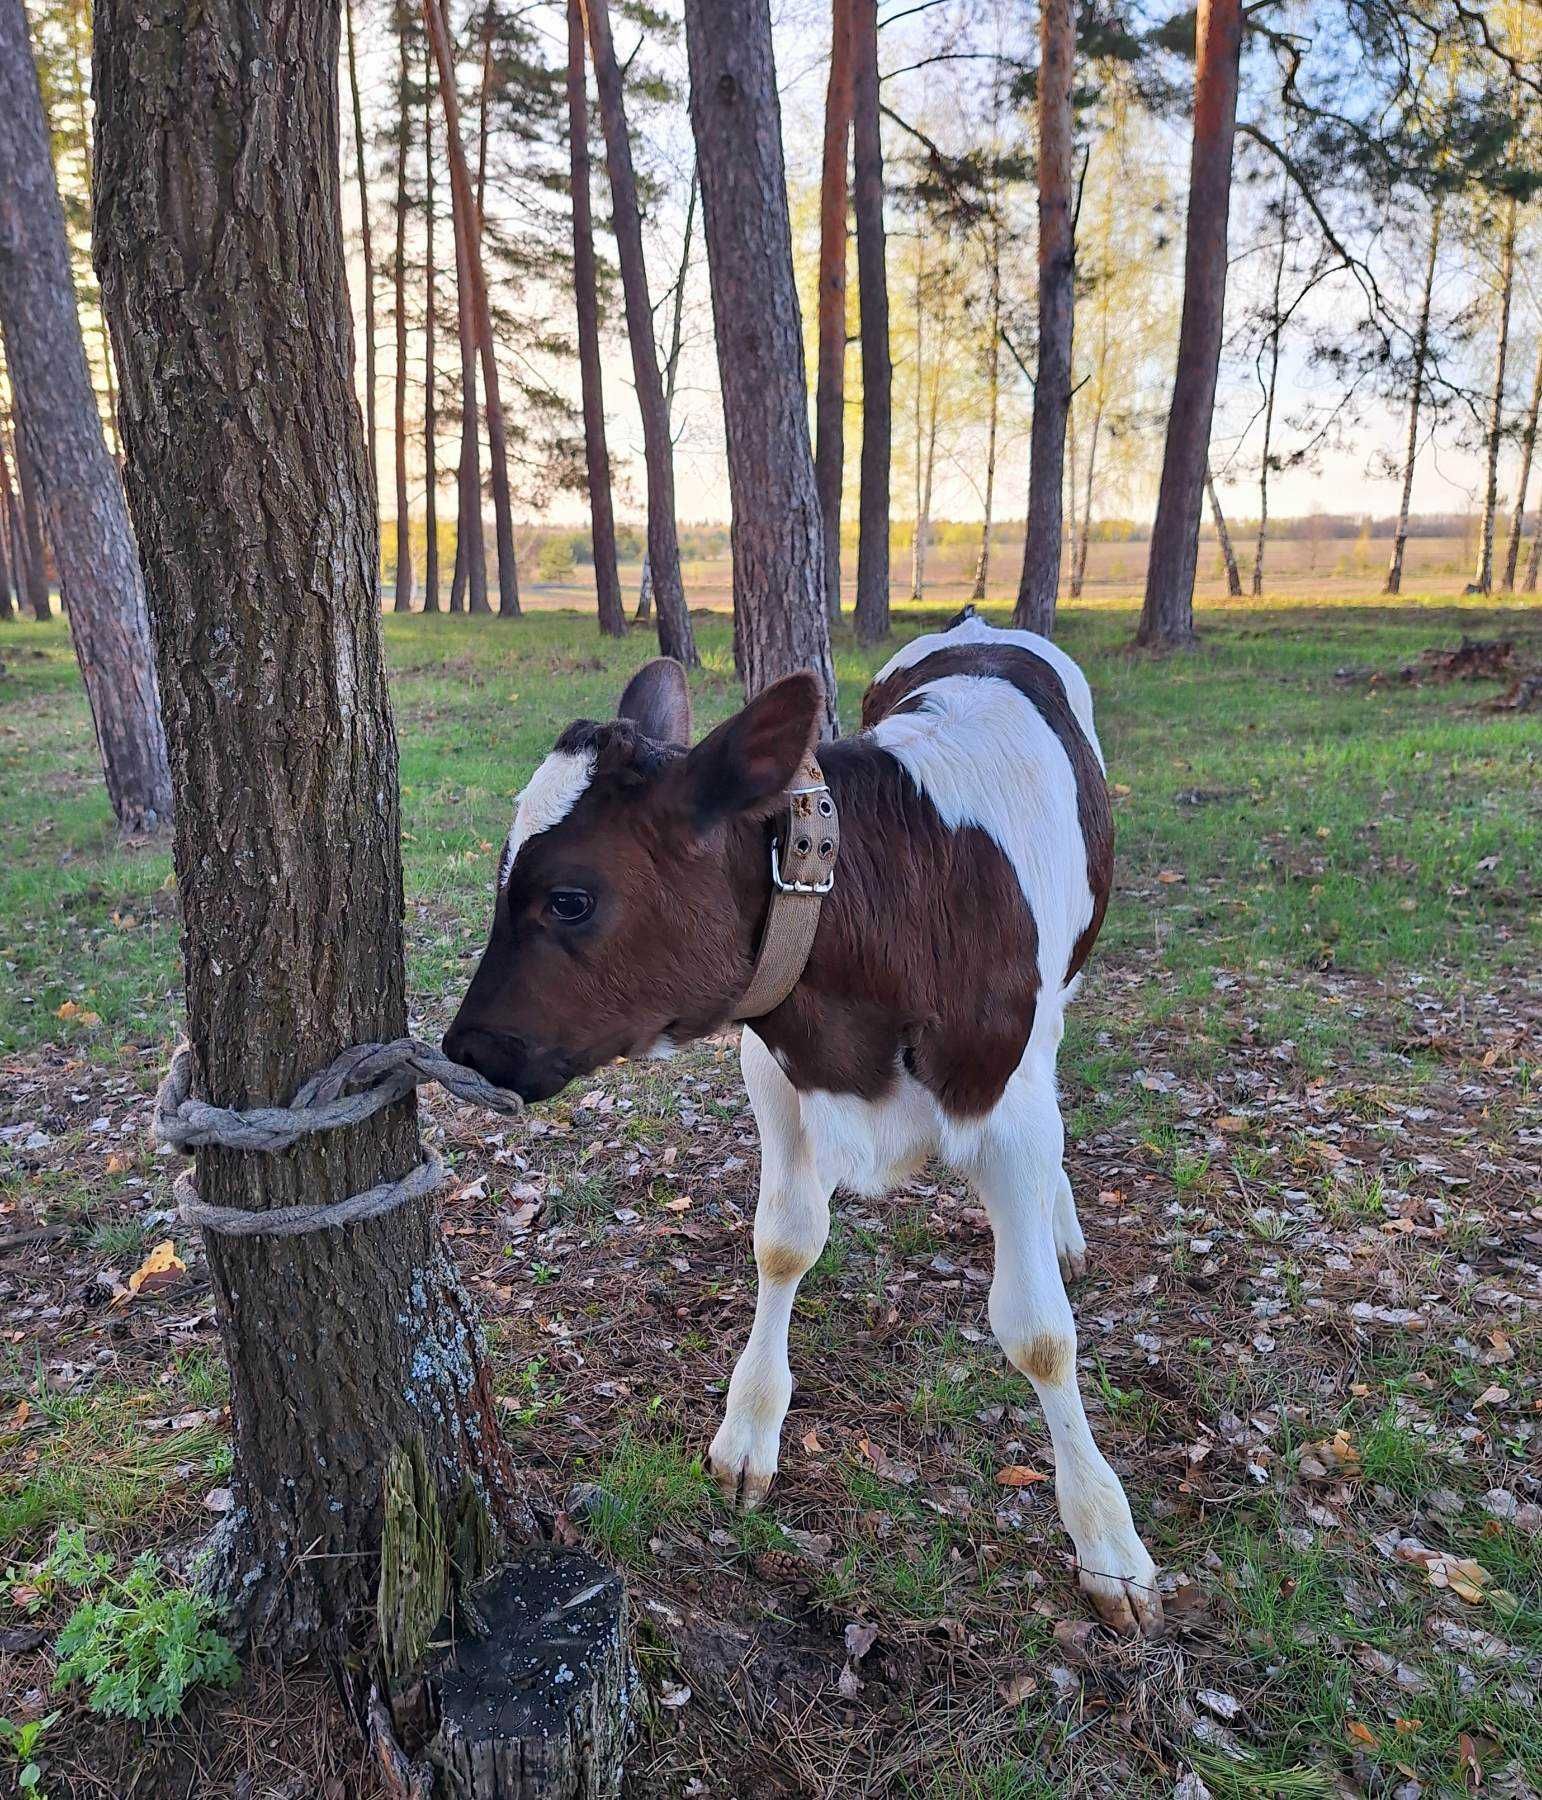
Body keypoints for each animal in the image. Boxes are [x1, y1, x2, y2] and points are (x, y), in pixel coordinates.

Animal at [442, 615, 1151, 1634]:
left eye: (569, 898)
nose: (464, 1049)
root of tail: (981, 624)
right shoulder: (771, 1064)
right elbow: (783, 1242)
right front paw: (749, 1429)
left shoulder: (1006, 1102)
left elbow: (1040, 1333)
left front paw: (1105, 1536)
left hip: (1068, 984)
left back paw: (1059, 1226)